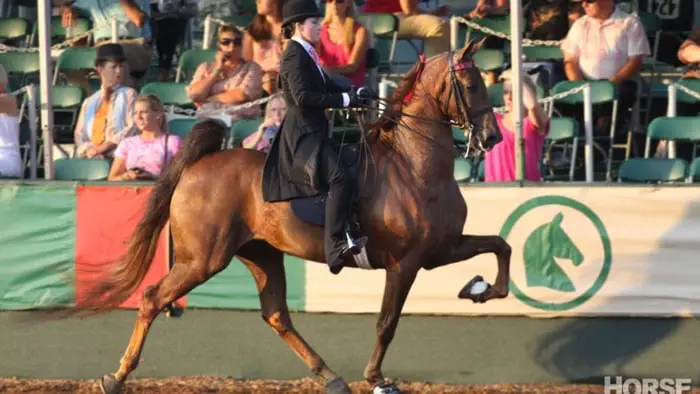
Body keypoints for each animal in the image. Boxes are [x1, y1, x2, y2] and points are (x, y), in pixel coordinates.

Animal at [74, 40, 516, 394]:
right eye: (471, 85)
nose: (492, 137)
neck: (414, 166)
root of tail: (199, 164)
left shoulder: (439, 249)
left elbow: (501, 246)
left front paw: (479, 290)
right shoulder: (405, 263)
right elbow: (387, 322)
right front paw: (376, 378)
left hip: (261, 253)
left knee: (276, 314)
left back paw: (331, 377)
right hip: (203, 259)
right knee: (152, 299)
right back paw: (115, 377)